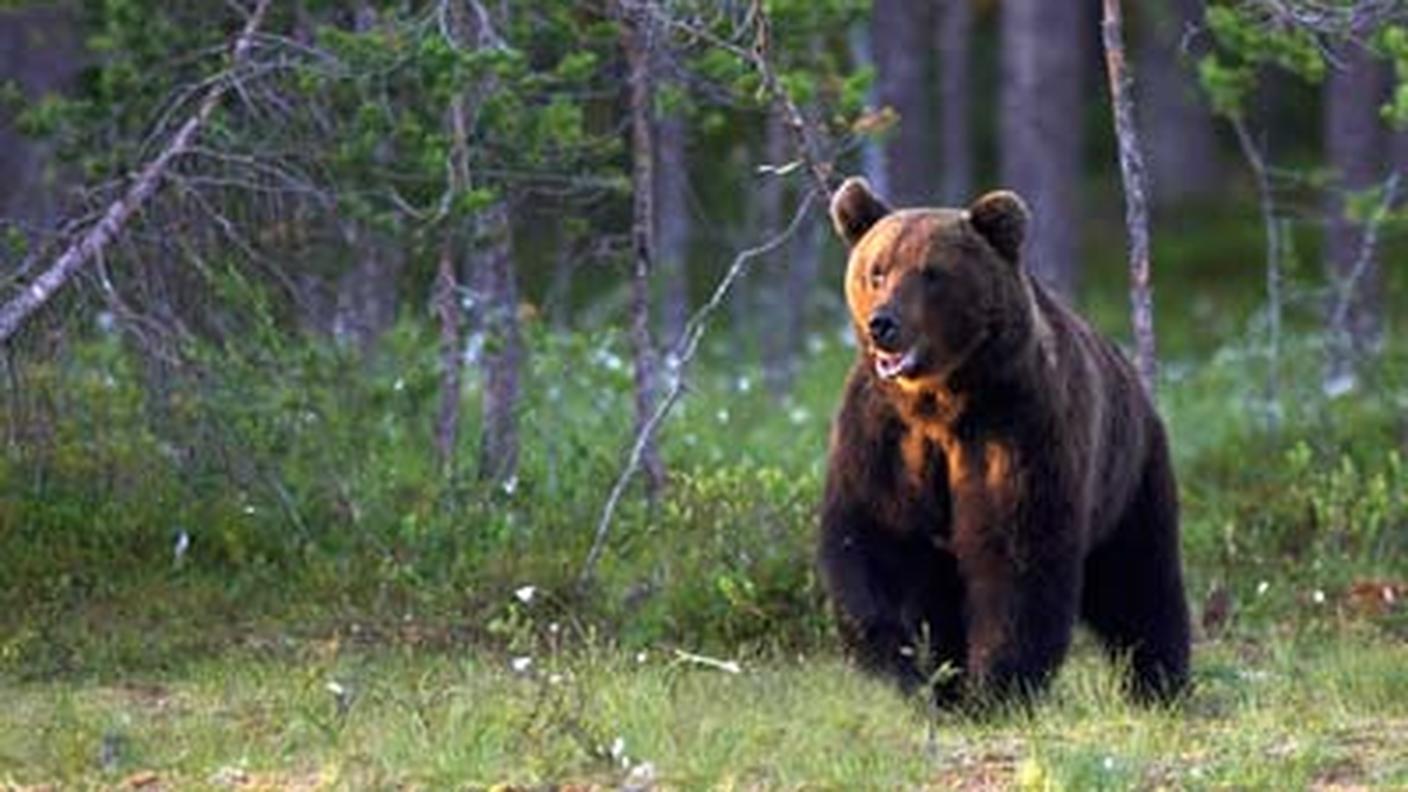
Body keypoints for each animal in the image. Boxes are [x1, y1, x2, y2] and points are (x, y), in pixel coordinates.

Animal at [818, 177, 1190, 706]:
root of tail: (1133, 376)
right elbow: (872, 541)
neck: (941, 403)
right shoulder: (886, 436)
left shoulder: (1015, 428)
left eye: (931, 274)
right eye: (876, 270)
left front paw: (997, 687)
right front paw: (904, 674)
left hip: (1129, 475)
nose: (883, 324)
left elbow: (1016, 551)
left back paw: (1160, 683)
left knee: (1140, 580)